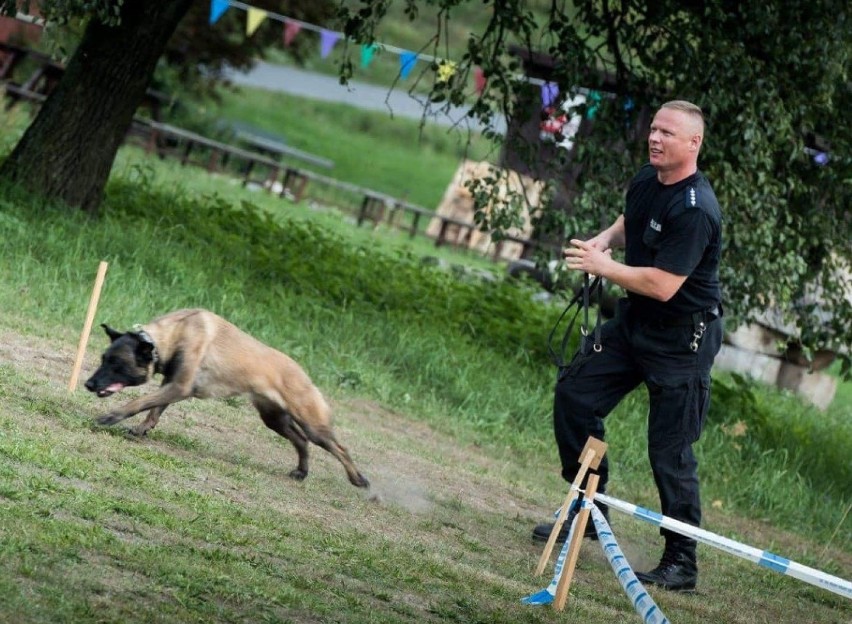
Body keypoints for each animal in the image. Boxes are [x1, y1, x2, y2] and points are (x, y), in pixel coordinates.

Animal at [82, 310, 370, 490]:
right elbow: (154, 409)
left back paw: (358, 479)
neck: (174, 334)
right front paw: (142, 429)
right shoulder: (172, 384)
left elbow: (141, 403)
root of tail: (305, 374)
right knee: (301, 441)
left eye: (117, 364)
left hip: (312, 424)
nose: (88, 384)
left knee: (339, 448)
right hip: (273, 419)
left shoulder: (180, 387)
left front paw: (112, 416)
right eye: (103, 359)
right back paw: (301, 472)